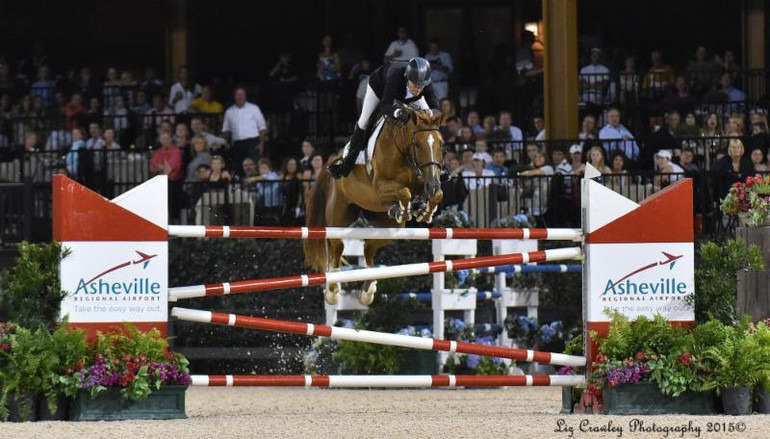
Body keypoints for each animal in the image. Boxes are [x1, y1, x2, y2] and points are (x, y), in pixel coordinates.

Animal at [304, 105, 440, 308]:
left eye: (441, 144)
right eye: (418, 144)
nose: (433, 184)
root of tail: (334, 158)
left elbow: (436, 195)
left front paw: (424, 210)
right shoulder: (381, 187)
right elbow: (405, 192)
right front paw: (407, 209)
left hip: (387, 225)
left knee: (369, 246)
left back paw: (368, 290)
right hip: (339, 215)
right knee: (337, 245)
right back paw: (333, 290)